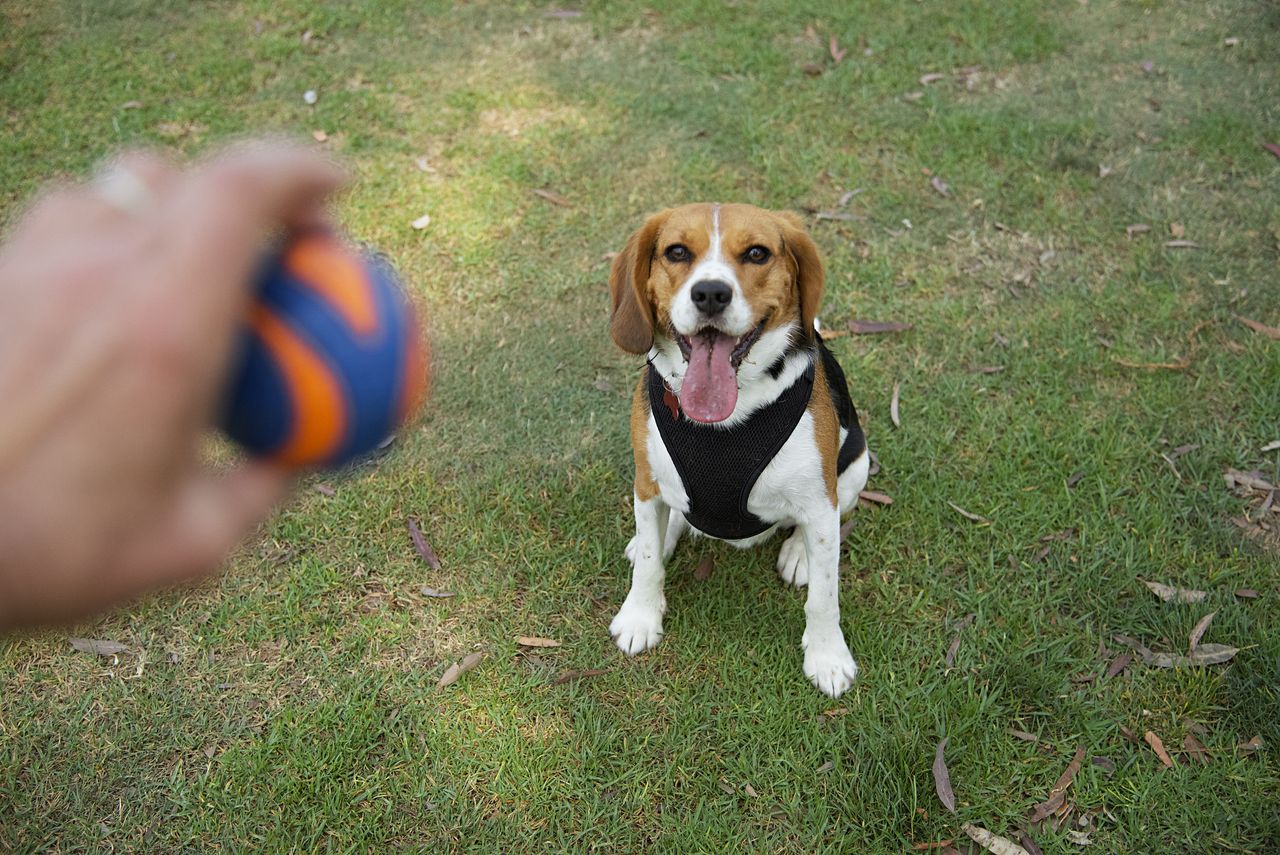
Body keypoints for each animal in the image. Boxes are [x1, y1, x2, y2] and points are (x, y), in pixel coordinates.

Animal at [601, 203, 865, 696]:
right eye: (677, 252)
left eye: (757, 253)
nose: (710, 294)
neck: (729, 414)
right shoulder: (646, 482)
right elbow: (647, 564)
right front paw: (640, 616)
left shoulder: (821, 502)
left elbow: (825, 595)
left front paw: (827, 656)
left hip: (857, 465)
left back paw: (797, 553)